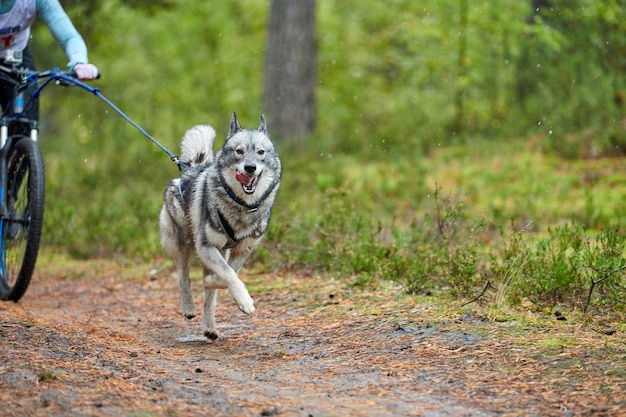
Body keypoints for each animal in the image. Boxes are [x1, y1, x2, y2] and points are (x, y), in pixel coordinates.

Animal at [158, 112, 280, 340]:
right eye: (239, 151)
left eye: (261, 152)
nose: (250, 168)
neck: (240, 205)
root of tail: (190, 168)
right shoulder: (205, 247)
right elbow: (229, 275)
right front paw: (245, 301)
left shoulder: (243, 249)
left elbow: (227, 275)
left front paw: (211, 281)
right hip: (183, 243)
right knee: (182, 275)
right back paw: (189, 307)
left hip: (218, 250)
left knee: (209, 297)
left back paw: (210, 327)